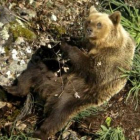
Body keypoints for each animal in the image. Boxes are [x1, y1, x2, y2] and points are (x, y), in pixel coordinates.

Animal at [4, 6, 136, 139]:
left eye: (99, 24)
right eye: (89, 20)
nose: (89, 29)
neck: (103, 43)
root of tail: (51, 91)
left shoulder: (110, 60)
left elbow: (92, 68)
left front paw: (65, 45)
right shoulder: (86, 44)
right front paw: (58, 41)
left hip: (74, 96)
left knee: (59, 114)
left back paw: (39, 132)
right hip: (49, 74)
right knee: (32, 72)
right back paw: (11, 89)